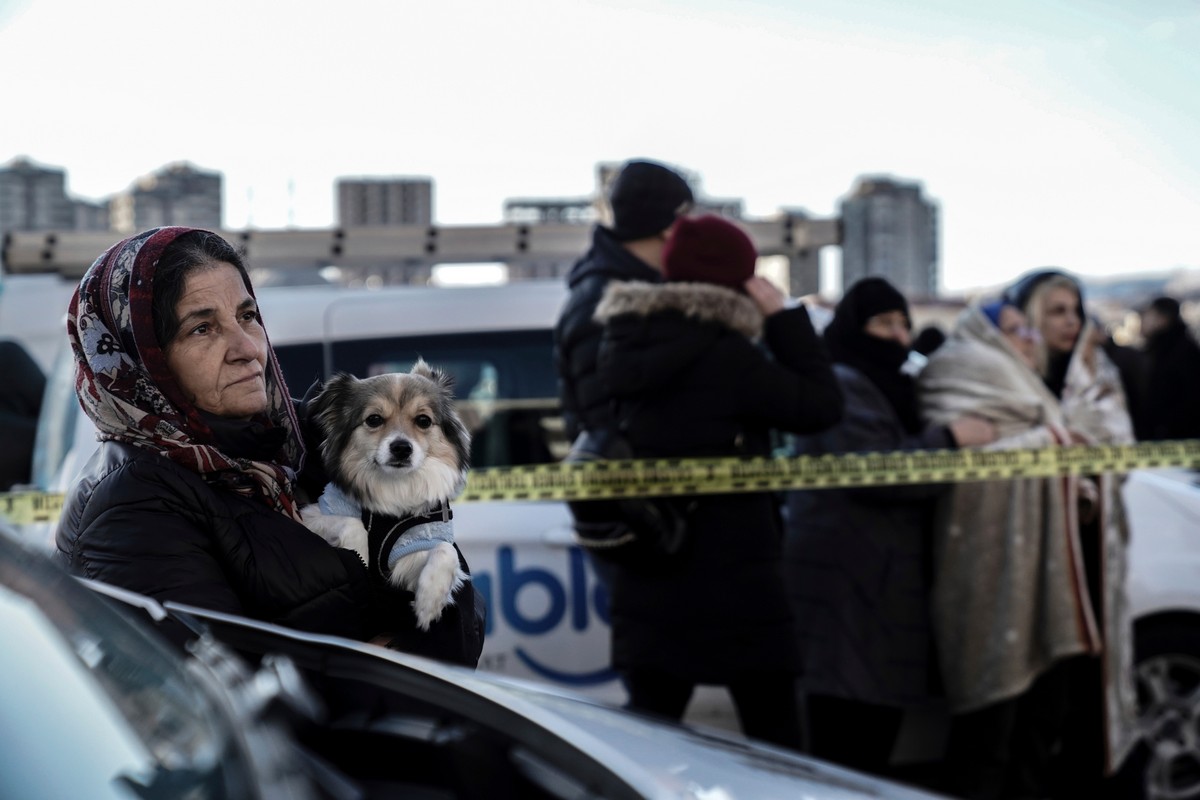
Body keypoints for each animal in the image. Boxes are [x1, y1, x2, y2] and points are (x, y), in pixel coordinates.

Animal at [298, 362, 468, 633]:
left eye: (423, 420)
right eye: (374, 420)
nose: (401, 448)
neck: (394, 486)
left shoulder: (411, 552)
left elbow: (445, 550)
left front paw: (429, 602)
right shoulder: (312, 514)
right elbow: (353, 525)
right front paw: (360, 555)